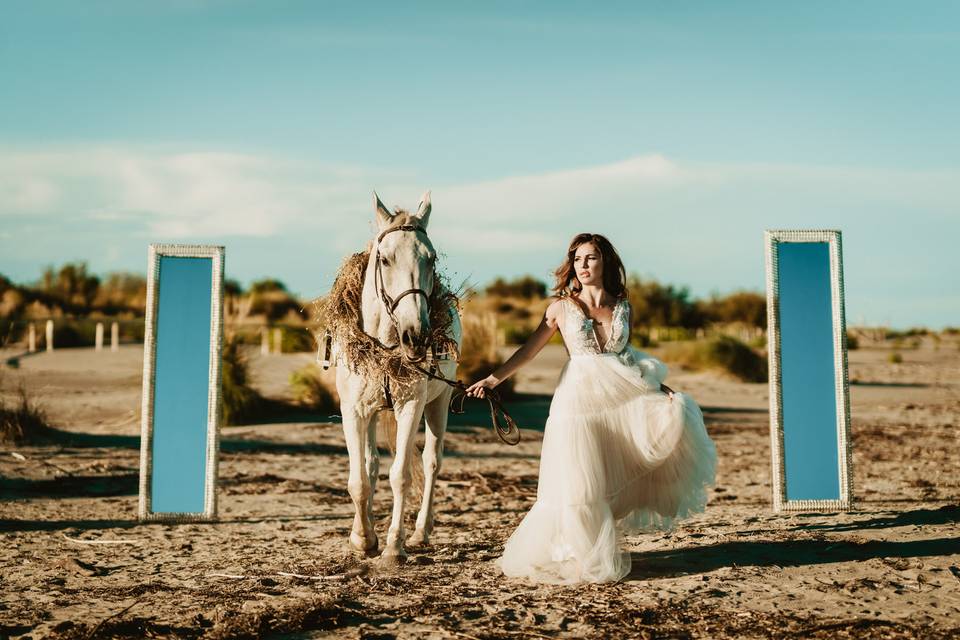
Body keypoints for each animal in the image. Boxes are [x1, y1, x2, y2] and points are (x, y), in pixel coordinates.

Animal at [336, 189, 464, 564]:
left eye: (431, 259)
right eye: (385, 259)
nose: (416, 335)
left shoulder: (411, 407)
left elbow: (401, 476)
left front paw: (394, 544)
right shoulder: (354, 411)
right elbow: (360, 479)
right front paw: (362, 538)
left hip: (439, 403)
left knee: (432, 462)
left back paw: (421, 531)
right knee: (371, 465)